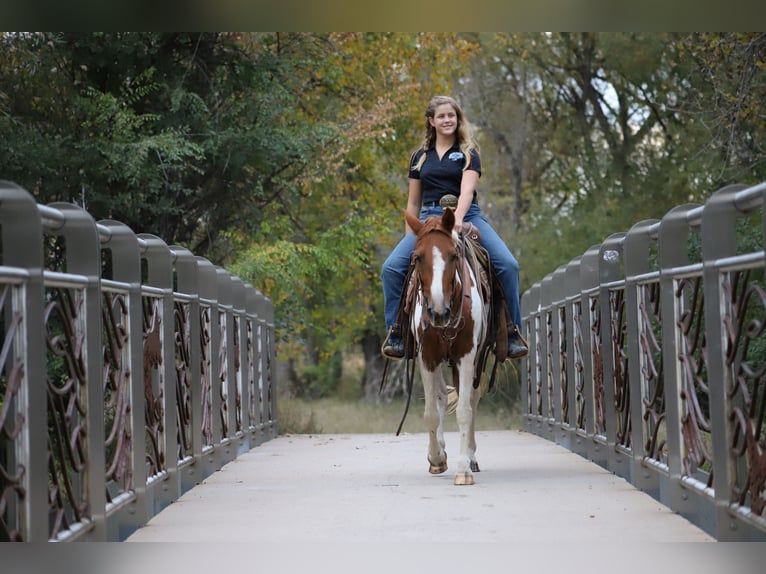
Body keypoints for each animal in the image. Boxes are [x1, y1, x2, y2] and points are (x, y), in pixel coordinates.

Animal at [402, 206, 492, 486]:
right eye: (418, 258)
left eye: (453, 256)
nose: (438, 312)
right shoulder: (427, 356)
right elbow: (431, 411)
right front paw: (437, 458)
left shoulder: (466, 355)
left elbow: (464, 410)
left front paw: (463, 470)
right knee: (441, 395)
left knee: (471, 399)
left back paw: (471, 458)